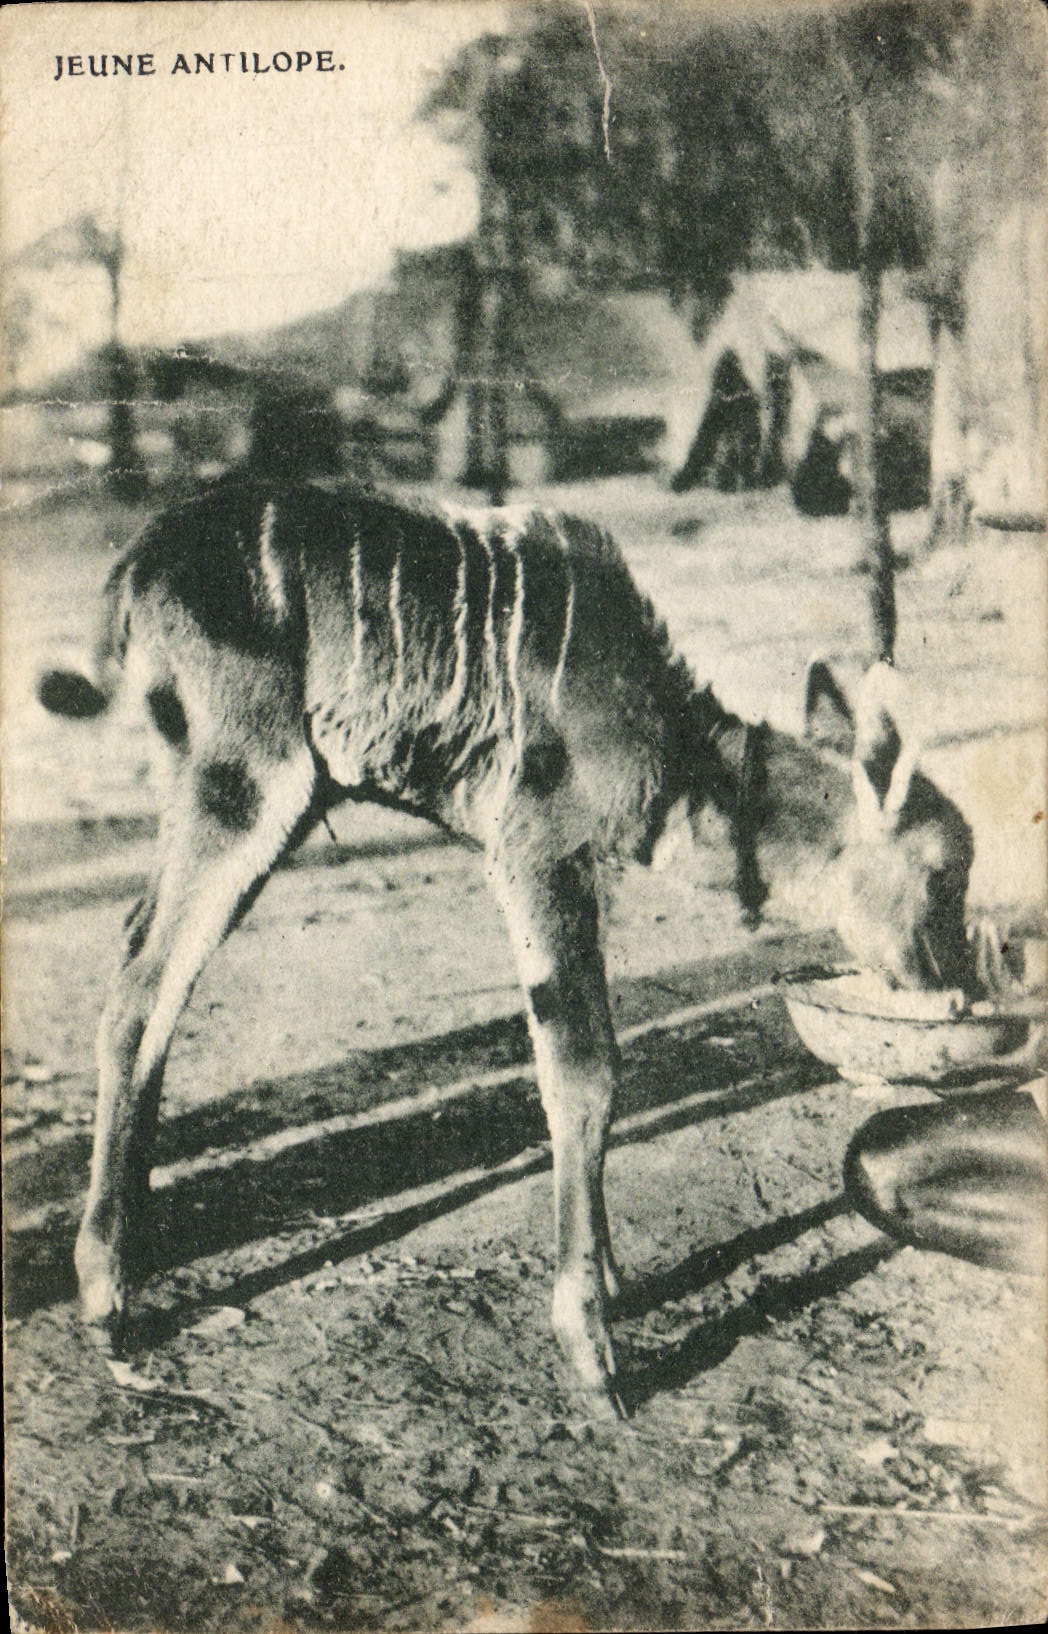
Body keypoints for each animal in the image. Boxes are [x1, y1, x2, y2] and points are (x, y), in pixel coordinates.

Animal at [38, 477, 974, 1412]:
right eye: (943, 874)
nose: (959, 988)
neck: (677, 758)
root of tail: (137, 565)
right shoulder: (535, 847)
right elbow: (585, 1072)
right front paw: (591, 1346)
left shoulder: (575, 870)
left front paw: (611, 1281)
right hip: (251, 781)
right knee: (139, 992)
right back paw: (105, 1296)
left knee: (151, 967)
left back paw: (137, 1250)